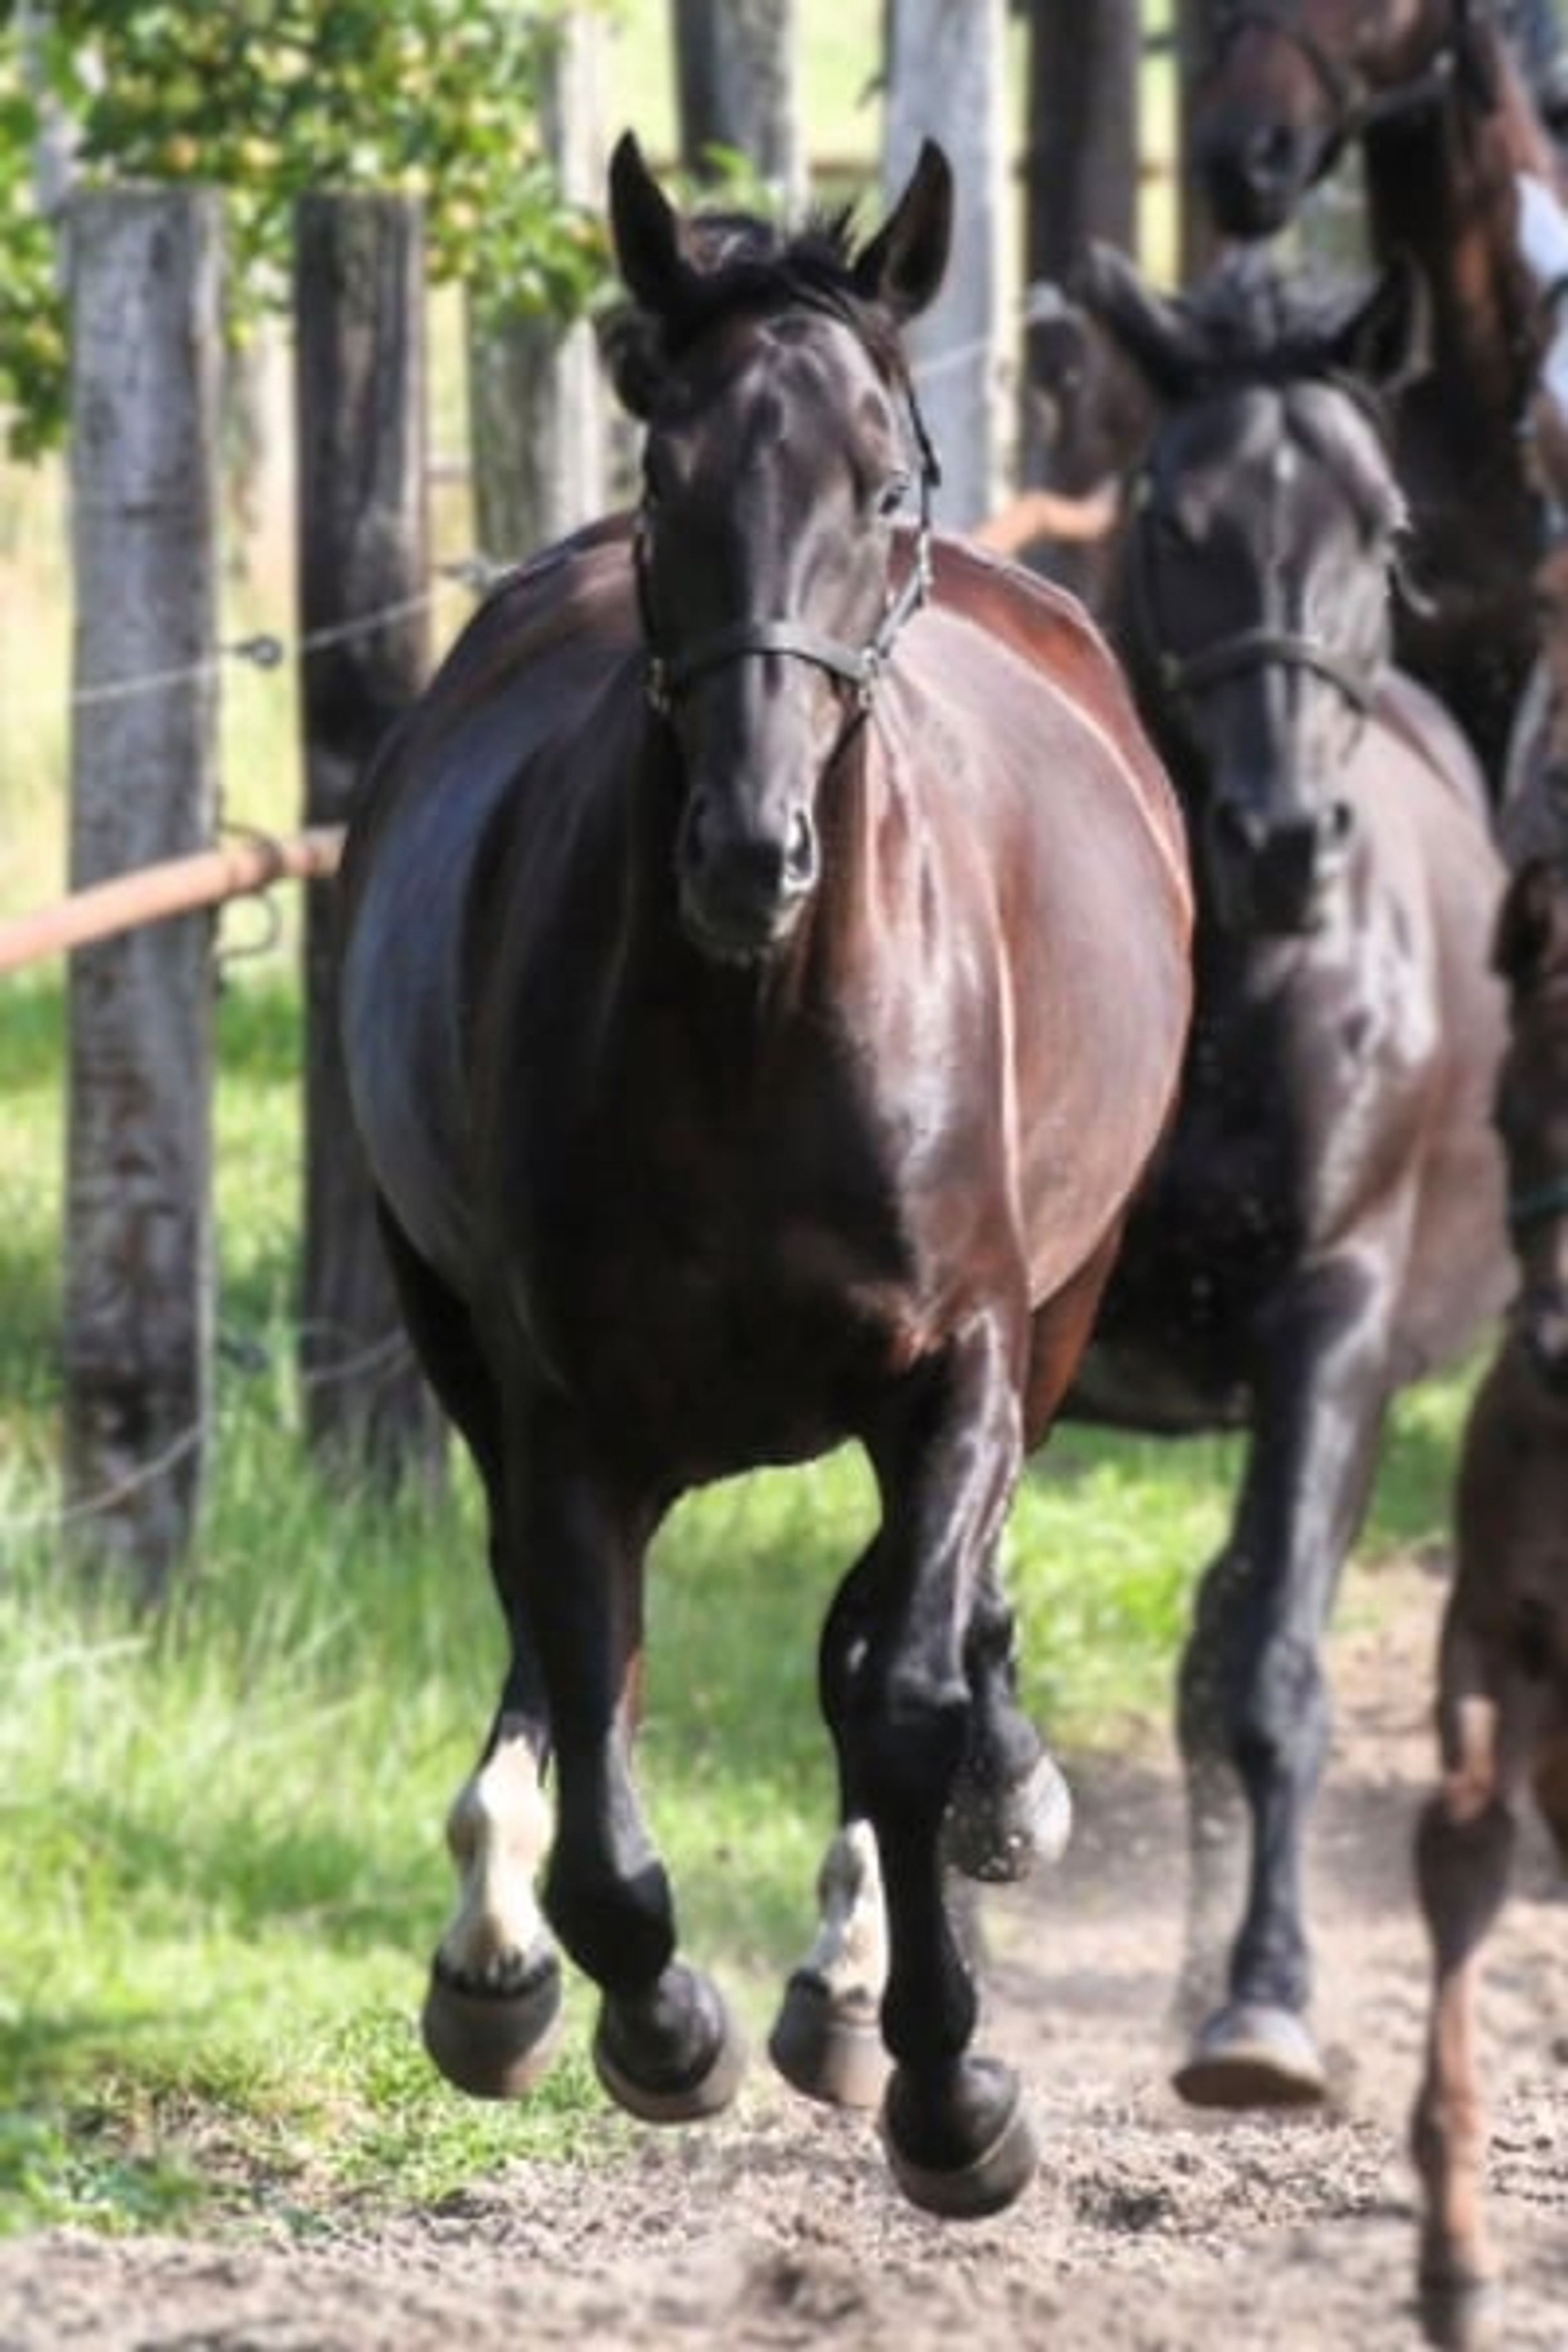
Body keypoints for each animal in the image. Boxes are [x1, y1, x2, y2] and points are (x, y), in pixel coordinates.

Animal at [336, 133, 1194, 2219]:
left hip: (1056, 1316)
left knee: (894, 1648)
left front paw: (948, 2077)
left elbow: (898, 1685)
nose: (750, 851)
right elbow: (590, 1690)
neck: (759, 1035)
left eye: (885, 487)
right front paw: (637, 2007)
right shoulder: (564, 1404)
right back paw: (505, 1957)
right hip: (451, 1323)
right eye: (670, 480)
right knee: (549, 1629)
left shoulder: (966, 1361)